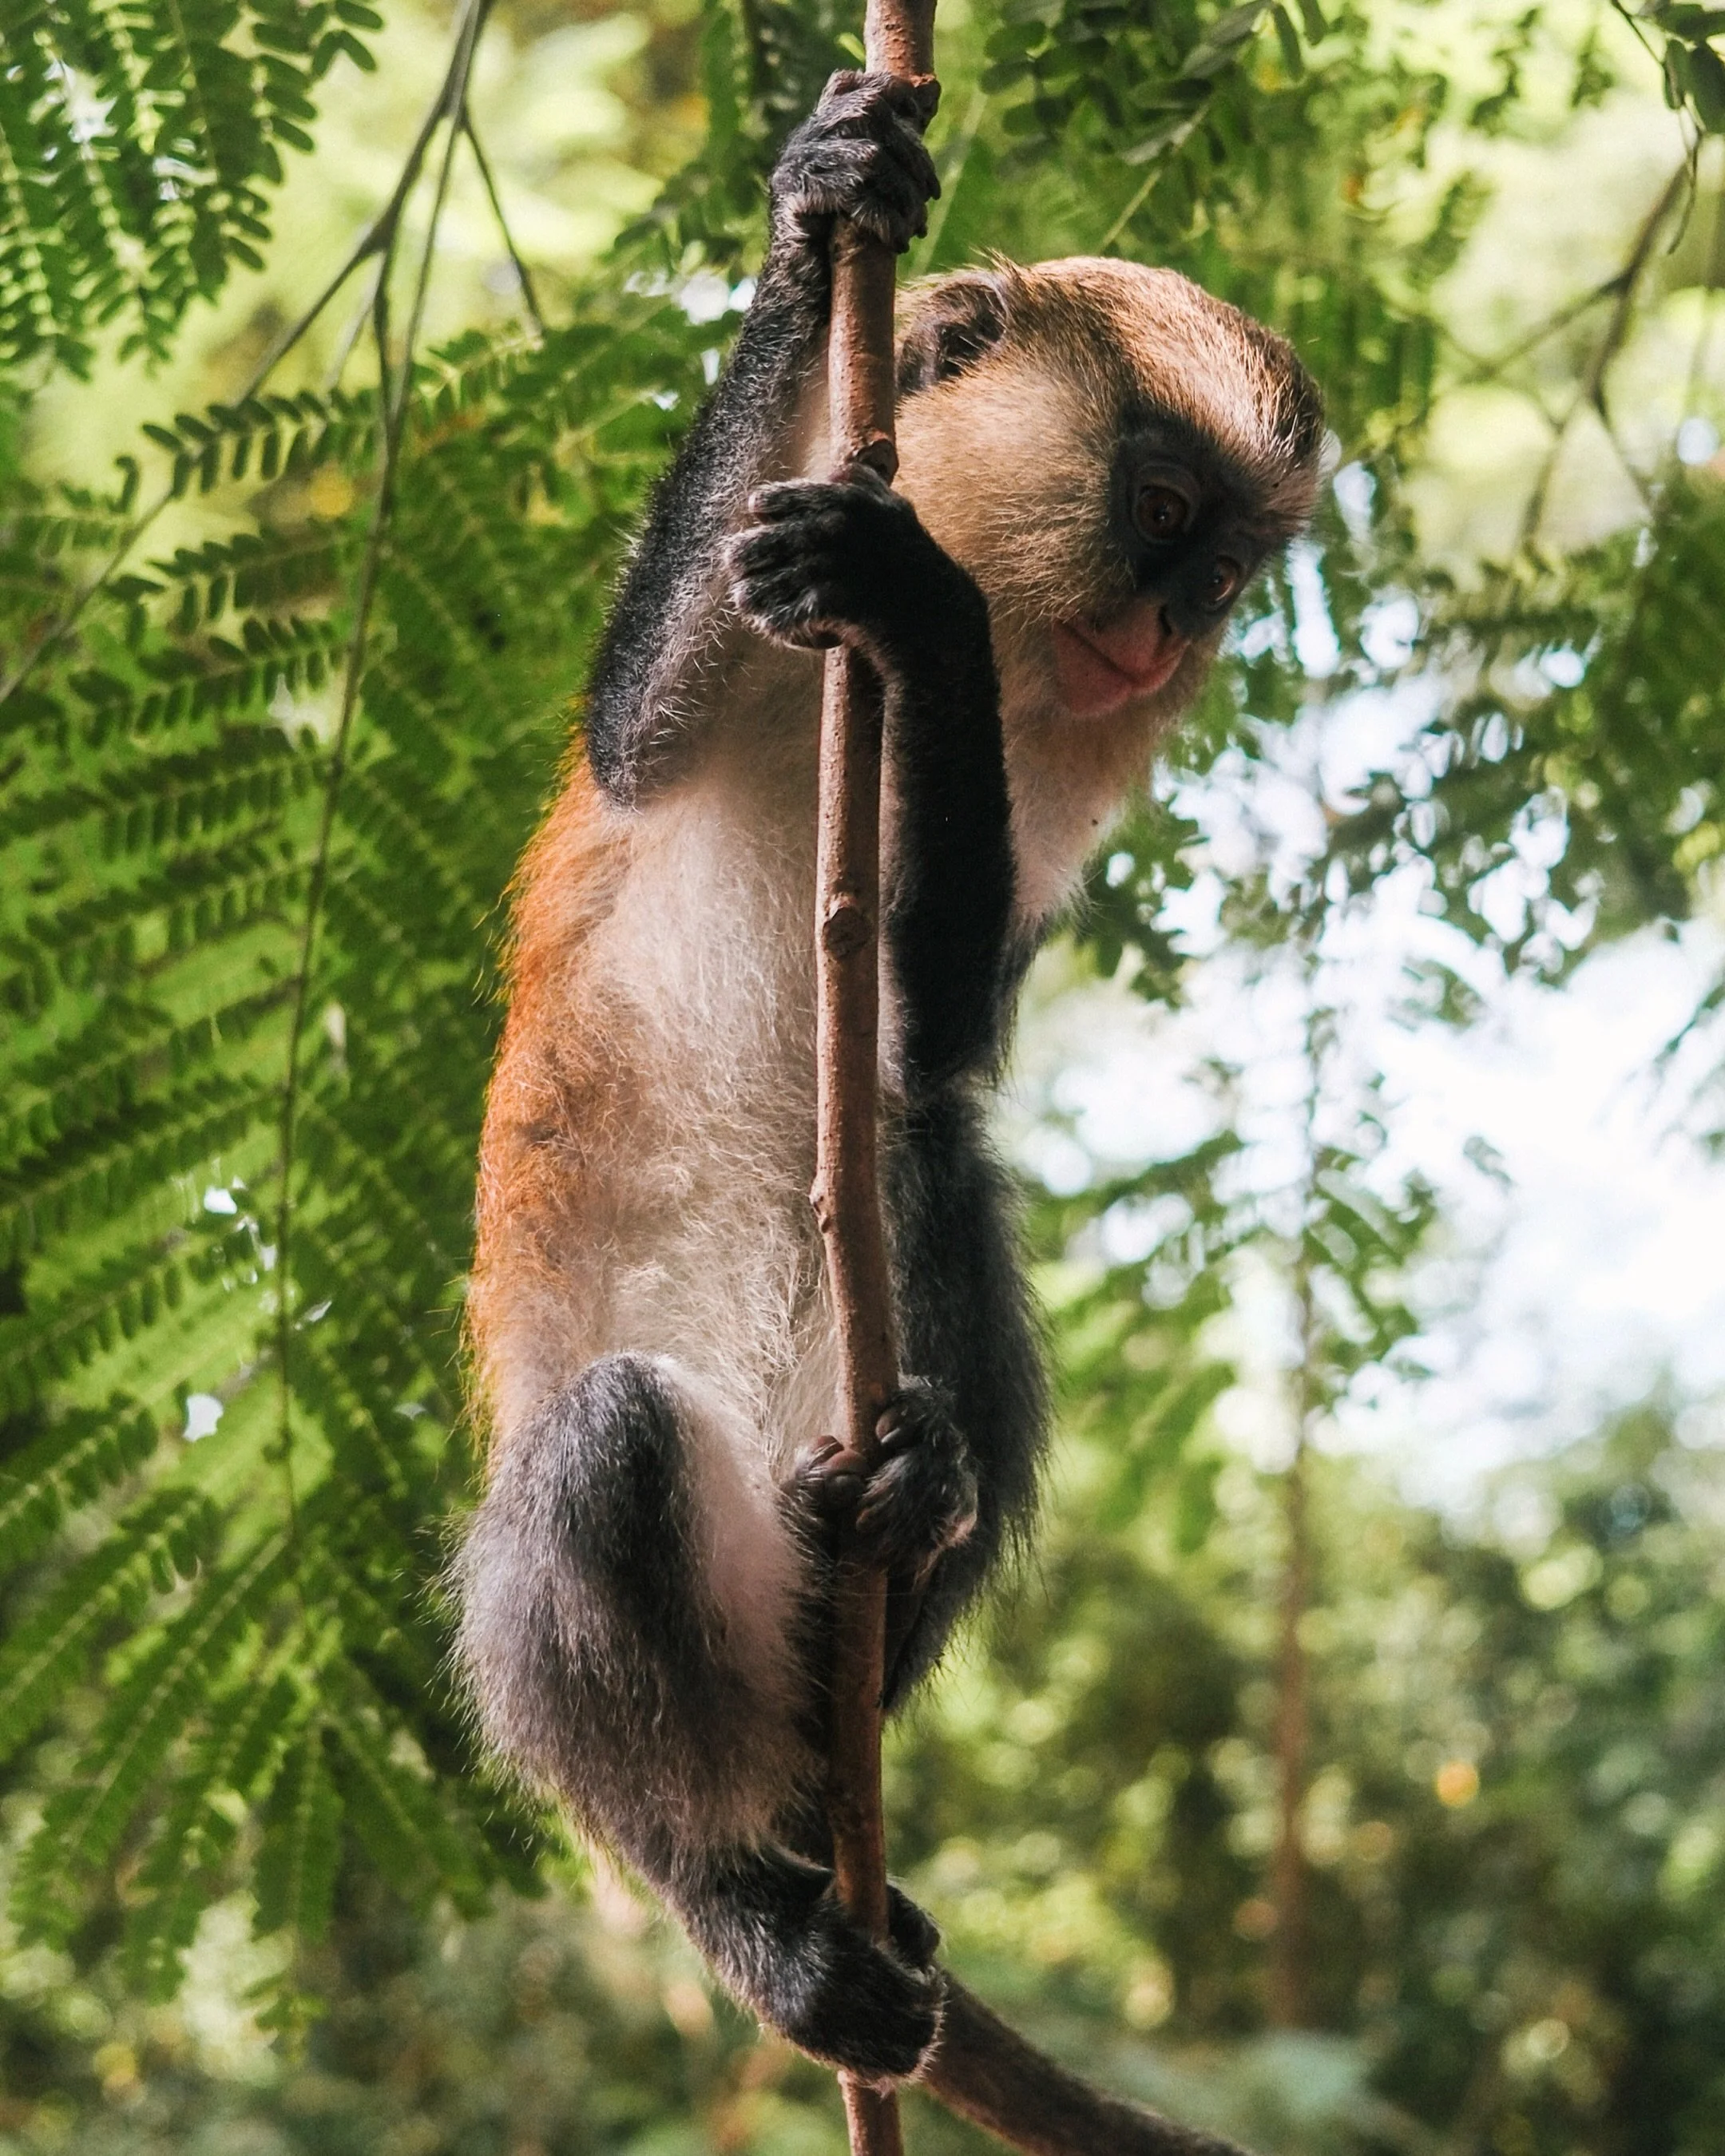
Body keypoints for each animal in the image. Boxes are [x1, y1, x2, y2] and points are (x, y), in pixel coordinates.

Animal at [455, 70, 1324, 2089]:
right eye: (1162, 507)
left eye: (1227, 573)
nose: (1161, 639)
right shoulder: (733, 618)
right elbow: (638, 726)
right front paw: (817, 204)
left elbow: (931, 1046)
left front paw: (920, 626)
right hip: (629, 1607)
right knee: (605, 1454)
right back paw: (742, 1898)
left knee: (933, 1167)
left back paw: (913, 1495)